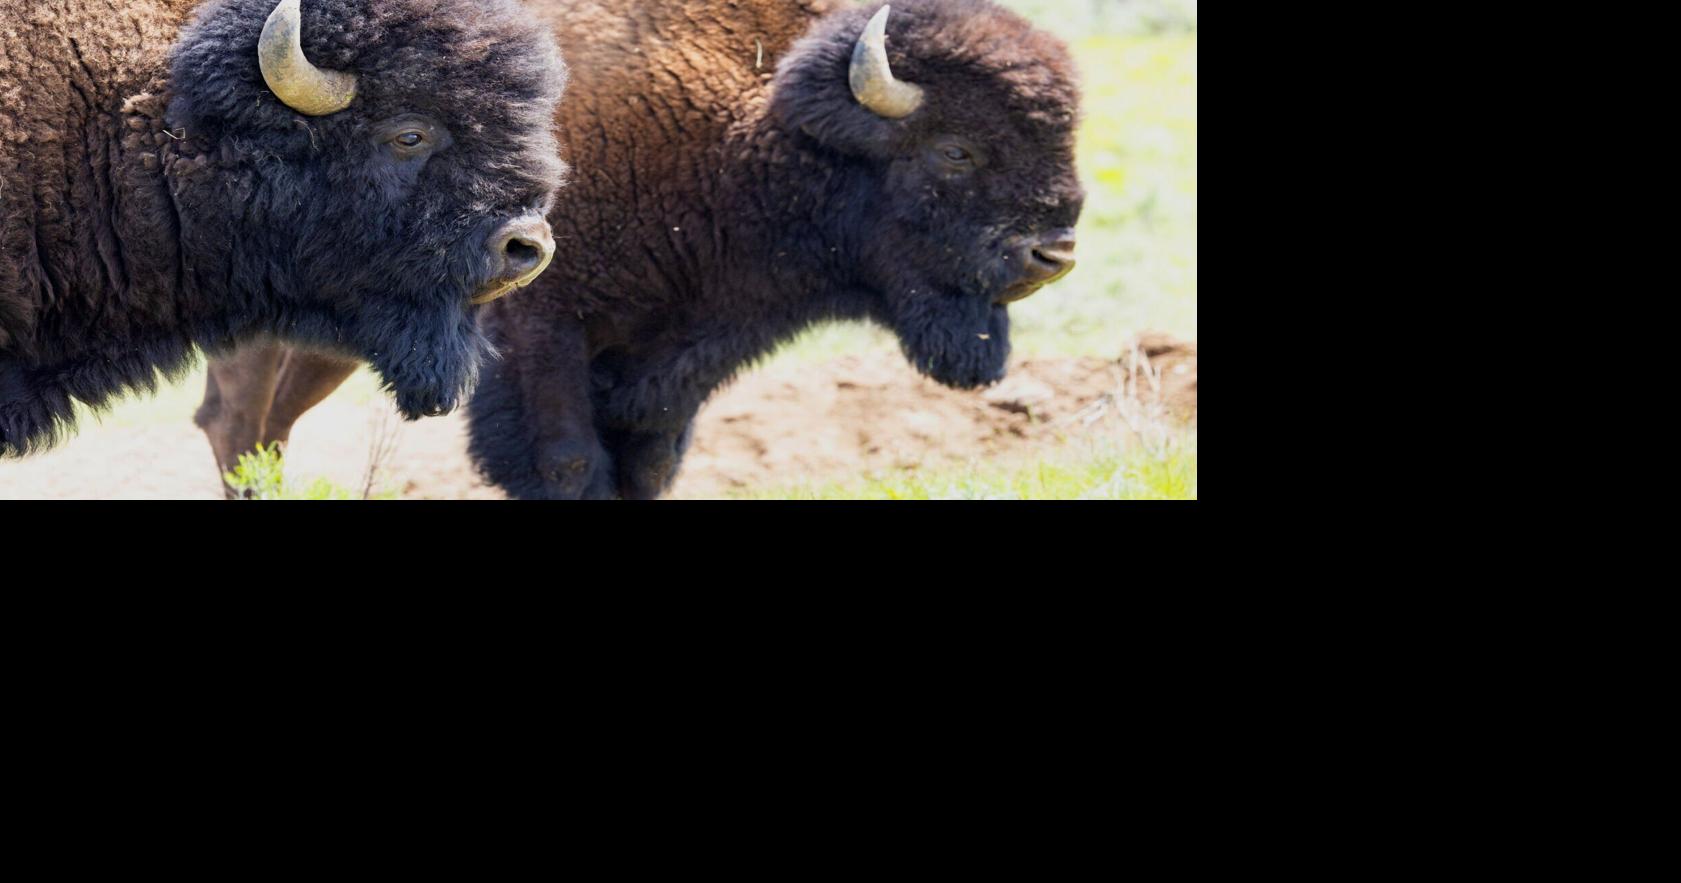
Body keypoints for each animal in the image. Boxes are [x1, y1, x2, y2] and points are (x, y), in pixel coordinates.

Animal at [197, 0, 1084, 499]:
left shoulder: (668, 366)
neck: (754, 118)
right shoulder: (542, 336)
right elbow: (567, 463)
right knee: (238, 421)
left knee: (264, 423)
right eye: (955, 150)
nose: (1054, 254)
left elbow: (650, 467)